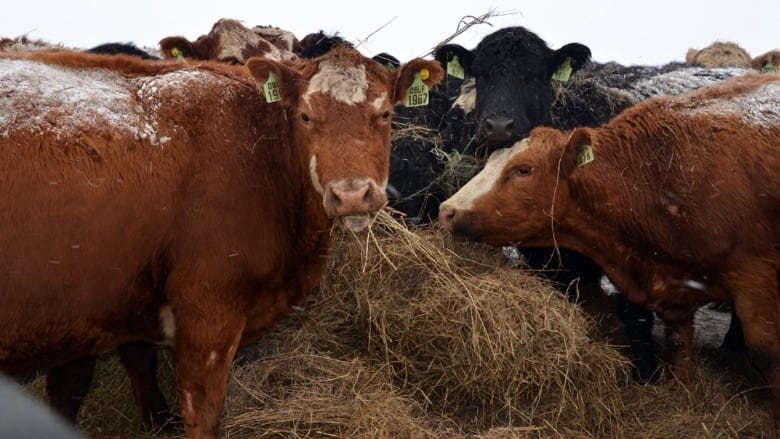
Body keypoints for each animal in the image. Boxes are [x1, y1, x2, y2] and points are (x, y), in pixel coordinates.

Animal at [442, 73, 780, 436]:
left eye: (523, 170)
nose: (446, 210)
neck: (660, 173)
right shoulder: (674, 285)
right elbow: (678, 343)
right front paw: (681, 395)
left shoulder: (754, 275)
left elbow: (766, 352)